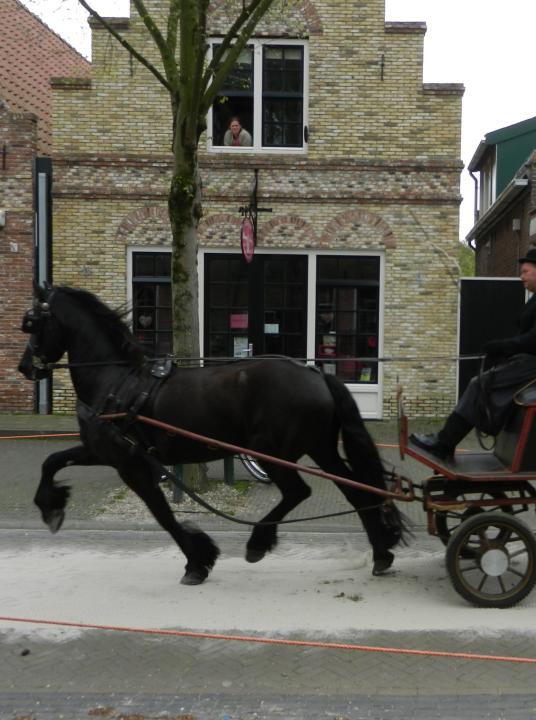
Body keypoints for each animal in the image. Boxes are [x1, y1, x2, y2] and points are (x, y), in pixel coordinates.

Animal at [18, 282, 408, 584]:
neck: (116, 381)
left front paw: (197, 561)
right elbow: (52, 461)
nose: (25, 367)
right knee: (357, 492)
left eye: (33, 323)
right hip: (321, 449)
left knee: (299, 491)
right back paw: (380, 553)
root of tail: (317, 375)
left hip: (274, 453)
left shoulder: (130, 465)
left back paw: (258, 543)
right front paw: (50, 507)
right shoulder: (102, 452)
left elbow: (163, 515)